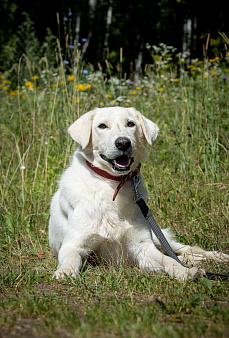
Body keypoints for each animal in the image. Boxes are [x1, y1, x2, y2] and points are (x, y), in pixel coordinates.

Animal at [48, 107, 229, 280]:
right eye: (102, 126)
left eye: (130, 124)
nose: (123, 143)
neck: (112, 185)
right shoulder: (72, 245)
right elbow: (71, 259)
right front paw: (65, 271)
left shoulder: (143, 246)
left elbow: (168, 260)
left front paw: (184, 272)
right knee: (182, 255)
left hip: (159, 238)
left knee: (184, 250)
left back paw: (218, 257)